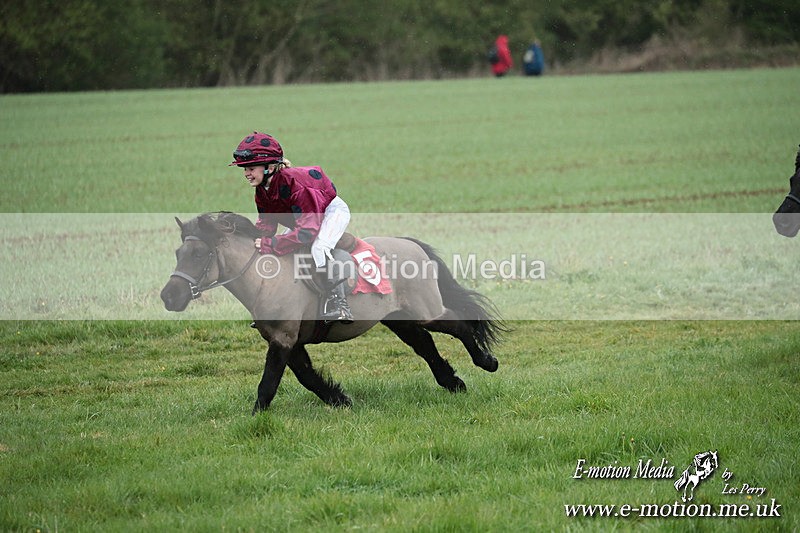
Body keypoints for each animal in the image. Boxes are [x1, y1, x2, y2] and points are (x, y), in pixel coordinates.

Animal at [160, 212, 504, 413]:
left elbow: (269, 383)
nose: (169, 296)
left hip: (425, 311)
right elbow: (306, 376)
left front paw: (256, 417)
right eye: (177, 252)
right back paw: (453, 382)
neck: (265, 278)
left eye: (199, 253)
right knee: (425, 344)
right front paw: (341, 399)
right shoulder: (287, 339)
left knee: (459, 326)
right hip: (399, 318)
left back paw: (486, 362)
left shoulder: (284, 338)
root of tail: (413, 245)